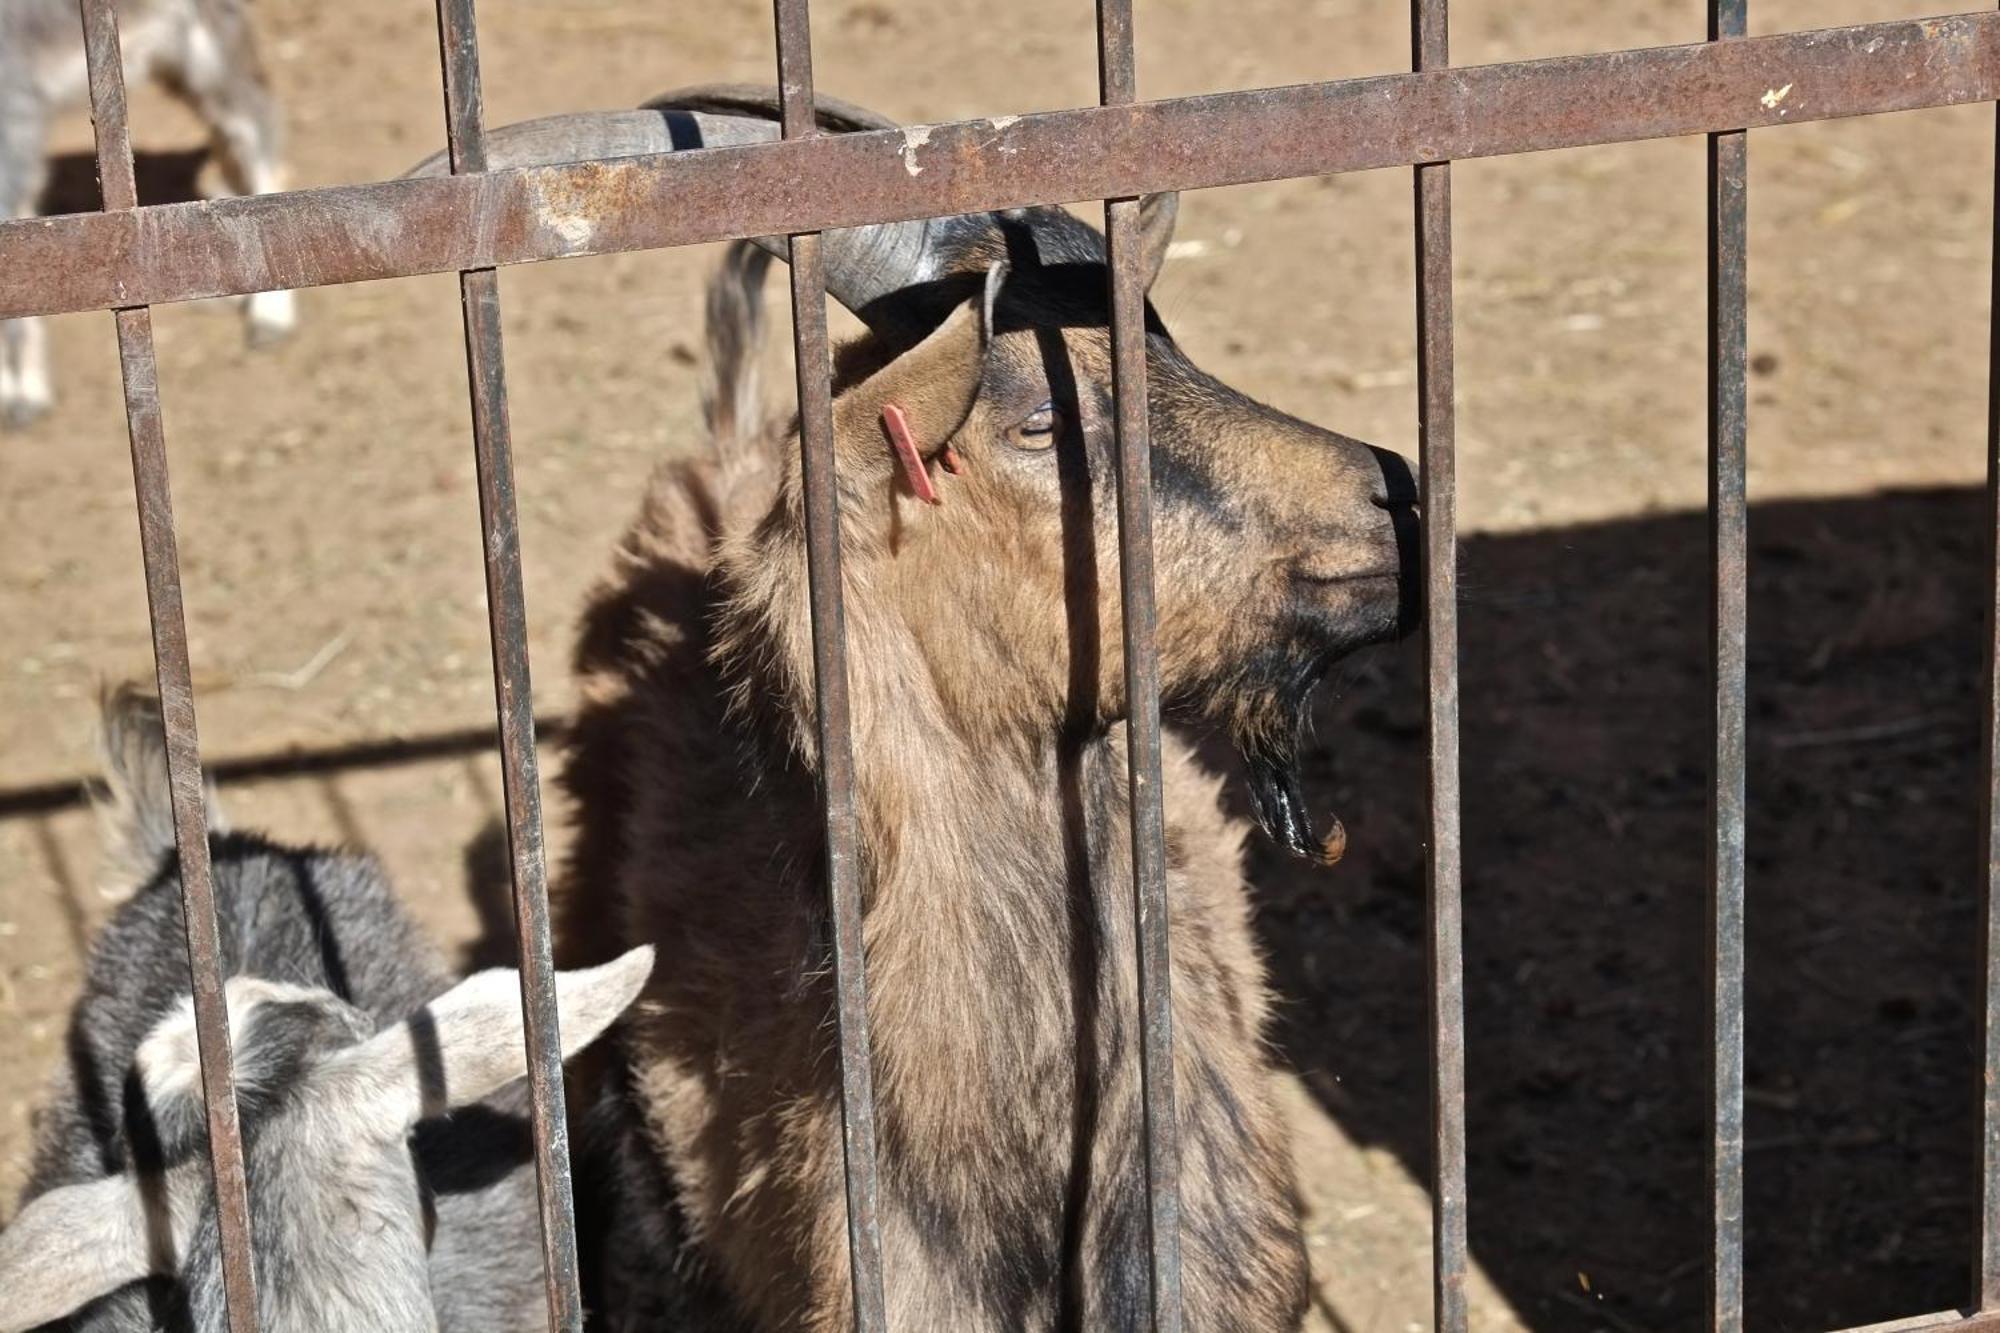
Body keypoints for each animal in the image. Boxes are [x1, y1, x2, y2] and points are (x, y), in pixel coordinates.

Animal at [0, 0, 296, 422]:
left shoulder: (14, 106)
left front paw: (26, 396)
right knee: (224, 129)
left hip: (206, 36)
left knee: (254, 119)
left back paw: (271, 315)